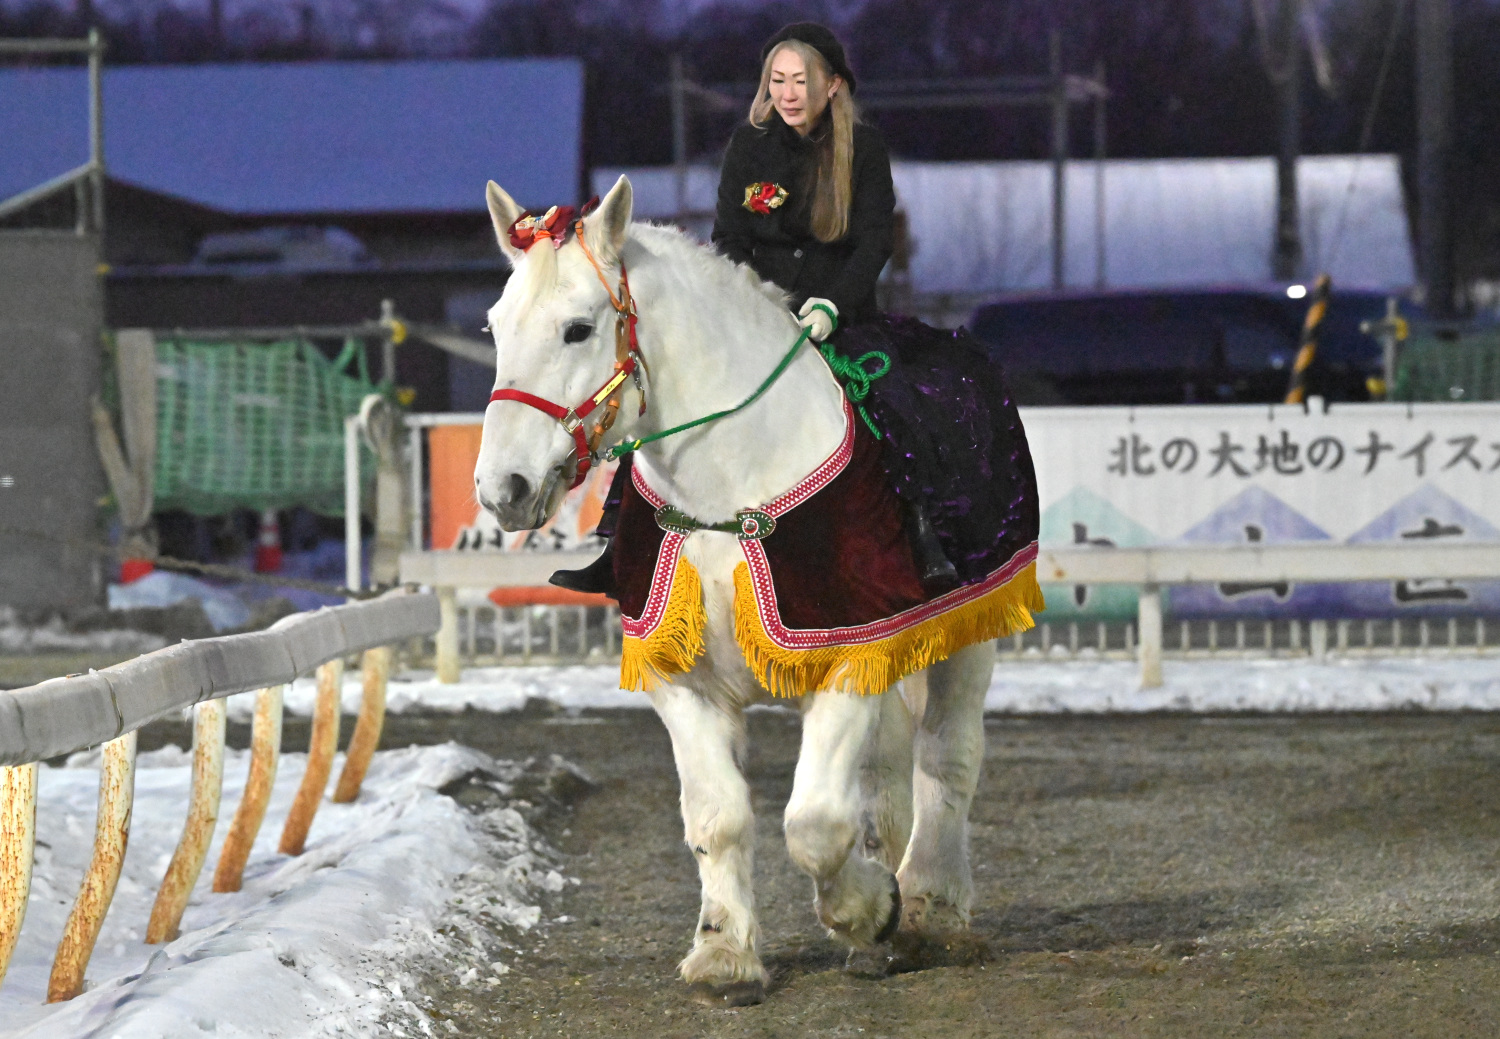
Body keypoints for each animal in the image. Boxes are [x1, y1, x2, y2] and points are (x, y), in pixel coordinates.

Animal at [474, 175, 1035, 1005]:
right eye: (495, 326)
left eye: (577, 329)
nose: (502, 489)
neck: (727, 486)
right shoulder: (679, 676)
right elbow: (720, 815)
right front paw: (724, 954)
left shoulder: (848, 654)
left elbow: (815, 824)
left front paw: (872, 910)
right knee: (889, 775)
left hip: (971, 633)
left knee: (948, 757)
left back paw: (931, 904)